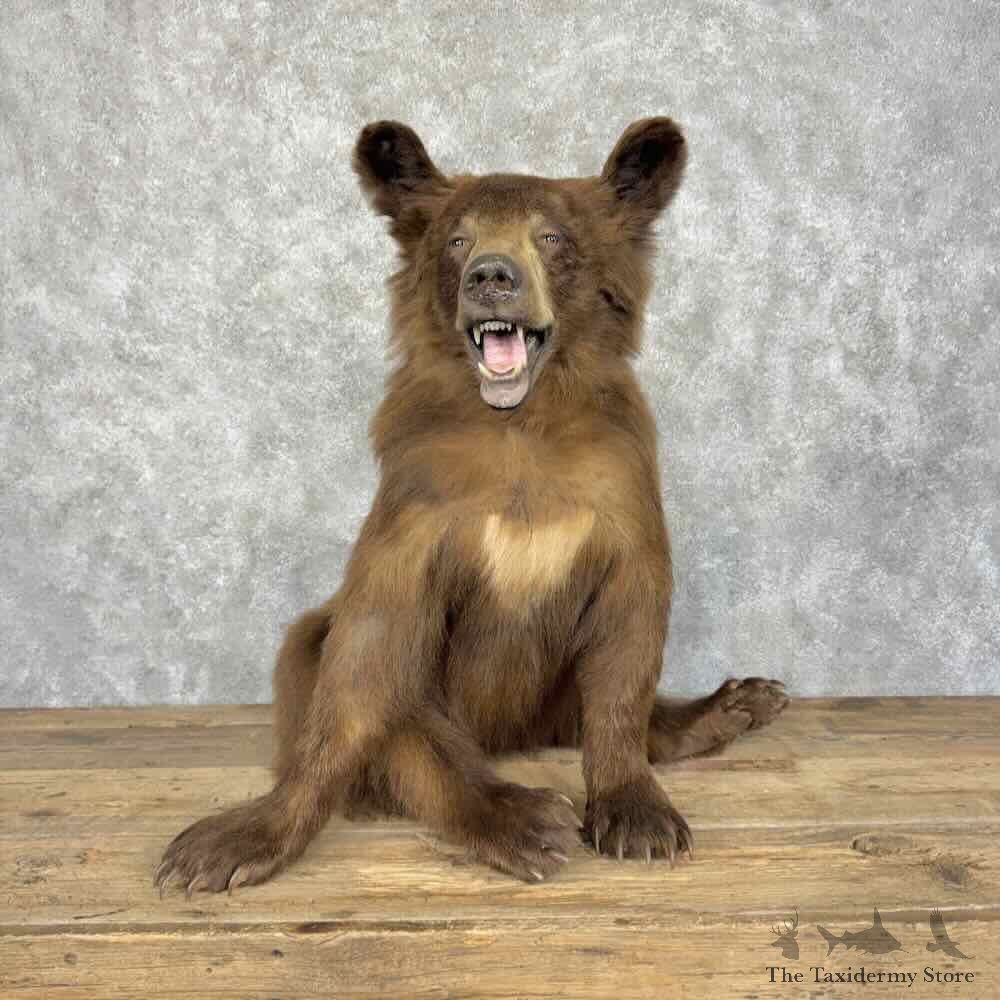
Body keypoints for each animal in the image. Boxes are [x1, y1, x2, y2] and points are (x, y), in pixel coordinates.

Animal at [155, 117, 789, 893]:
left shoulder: (620, 500)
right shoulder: (417, 512)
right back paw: (521, 819)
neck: (518, 427)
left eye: (552, 236)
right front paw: (240, 838)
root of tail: (508, 735)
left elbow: (623, 663)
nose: (492, 275)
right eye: (457, 239)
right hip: (350, 655)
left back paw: (733, 705)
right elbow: (362, 671)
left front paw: (636, 814)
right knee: (388, 717)